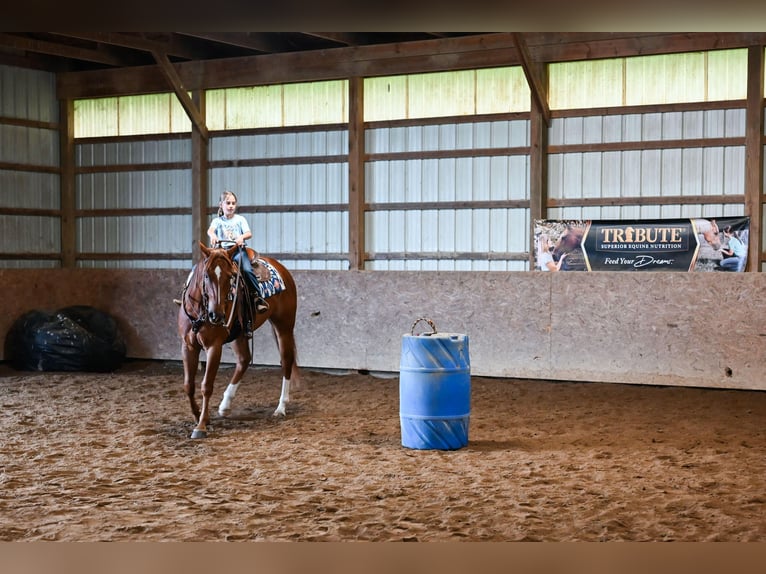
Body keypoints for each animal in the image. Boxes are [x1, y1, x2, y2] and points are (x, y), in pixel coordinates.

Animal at [179, 243, 300, 440]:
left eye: (230, 277)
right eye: (207, 275)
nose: (217, 315)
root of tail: (281, 268)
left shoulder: (214, 346)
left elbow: (206, 385)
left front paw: (201, 425)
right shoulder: (188, 346)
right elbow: (188, 385)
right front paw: (198, 416)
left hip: (284, 326)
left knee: (286, 361)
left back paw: (281, 408)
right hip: (240, 333)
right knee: (244, 360)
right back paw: (225, 405)